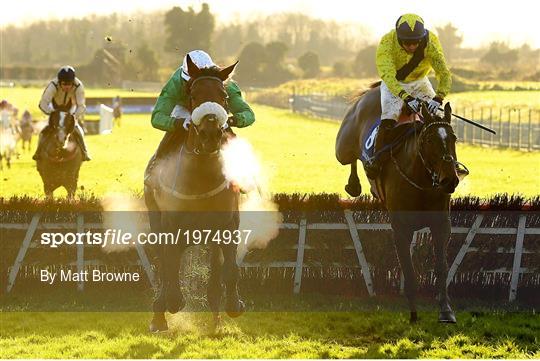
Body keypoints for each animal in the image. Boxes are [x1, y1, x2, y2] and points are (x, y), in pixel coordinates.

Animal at [143, 54, 245, 332]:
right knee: (162, 262)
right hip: (156, 218)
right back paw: (158, 314)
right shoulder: (170, 226)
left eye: (224, 96)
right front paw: (171, 302)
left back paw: (216, 319)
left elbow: (230, 269)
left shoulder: (228, 224)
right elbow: (169, 268)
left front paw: (233, 305)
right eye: (193, 95)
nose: (211, 133)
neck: (202, 178)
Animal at [338, 83, 460, 322]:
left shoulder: (442, 225)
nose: (450, 179)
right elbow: (408, 271)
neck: (421, 181)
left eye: (453, 138)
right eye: (429, 140)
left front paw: (446, 311)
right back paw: (355, 183)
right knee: (351, 159)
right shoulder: (401, 228)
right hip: (343, 147)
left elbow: (441, 267)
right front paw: (413, 314)